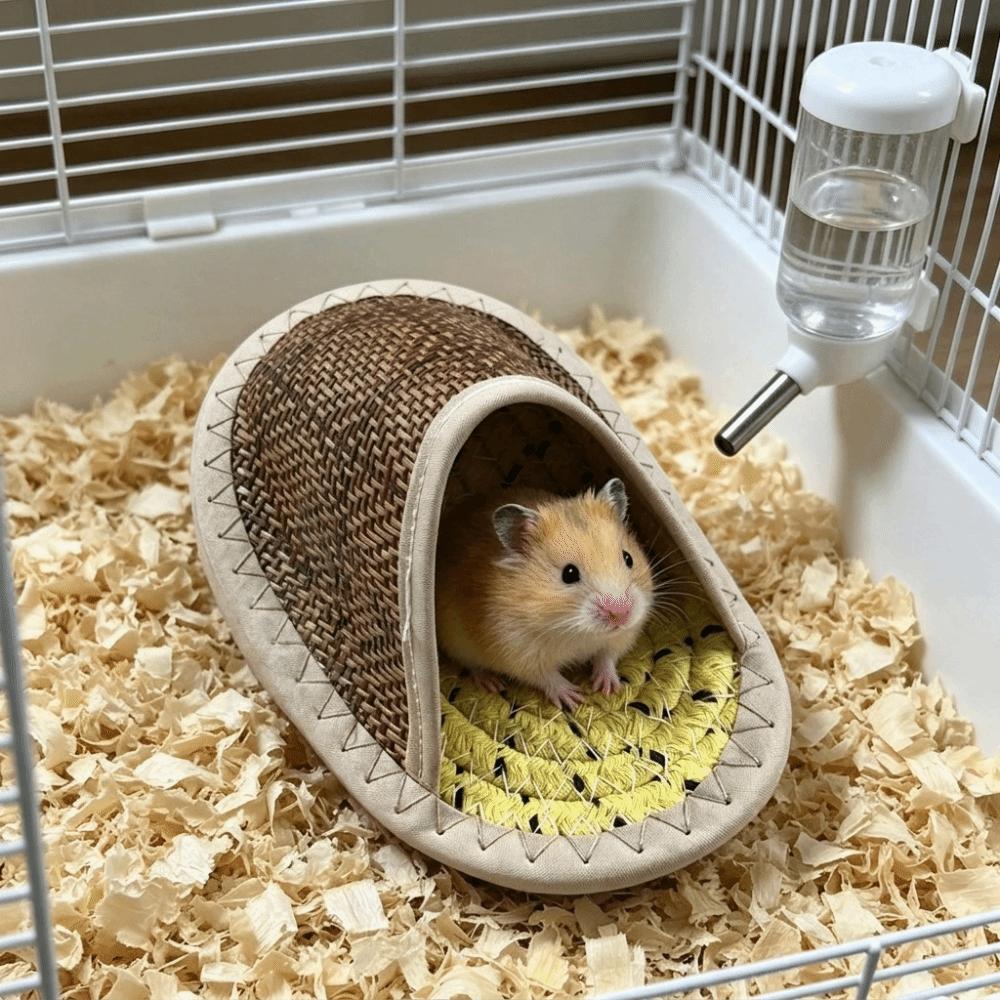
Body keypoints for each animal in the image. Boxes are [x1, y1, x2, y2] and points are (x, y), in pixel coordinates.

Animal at [435, 478, 654, 710]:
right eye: (569, 574)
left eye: (628, 558)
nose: (621, 614)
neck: (577, 632)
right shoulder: (518, 652)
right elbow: (548, 677)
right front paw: (575, 699)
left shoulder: (622, 636)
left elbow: (606, 657)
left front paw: (609, 688)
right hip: (457, 641)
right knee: (472, 665)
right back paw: (491, 683)